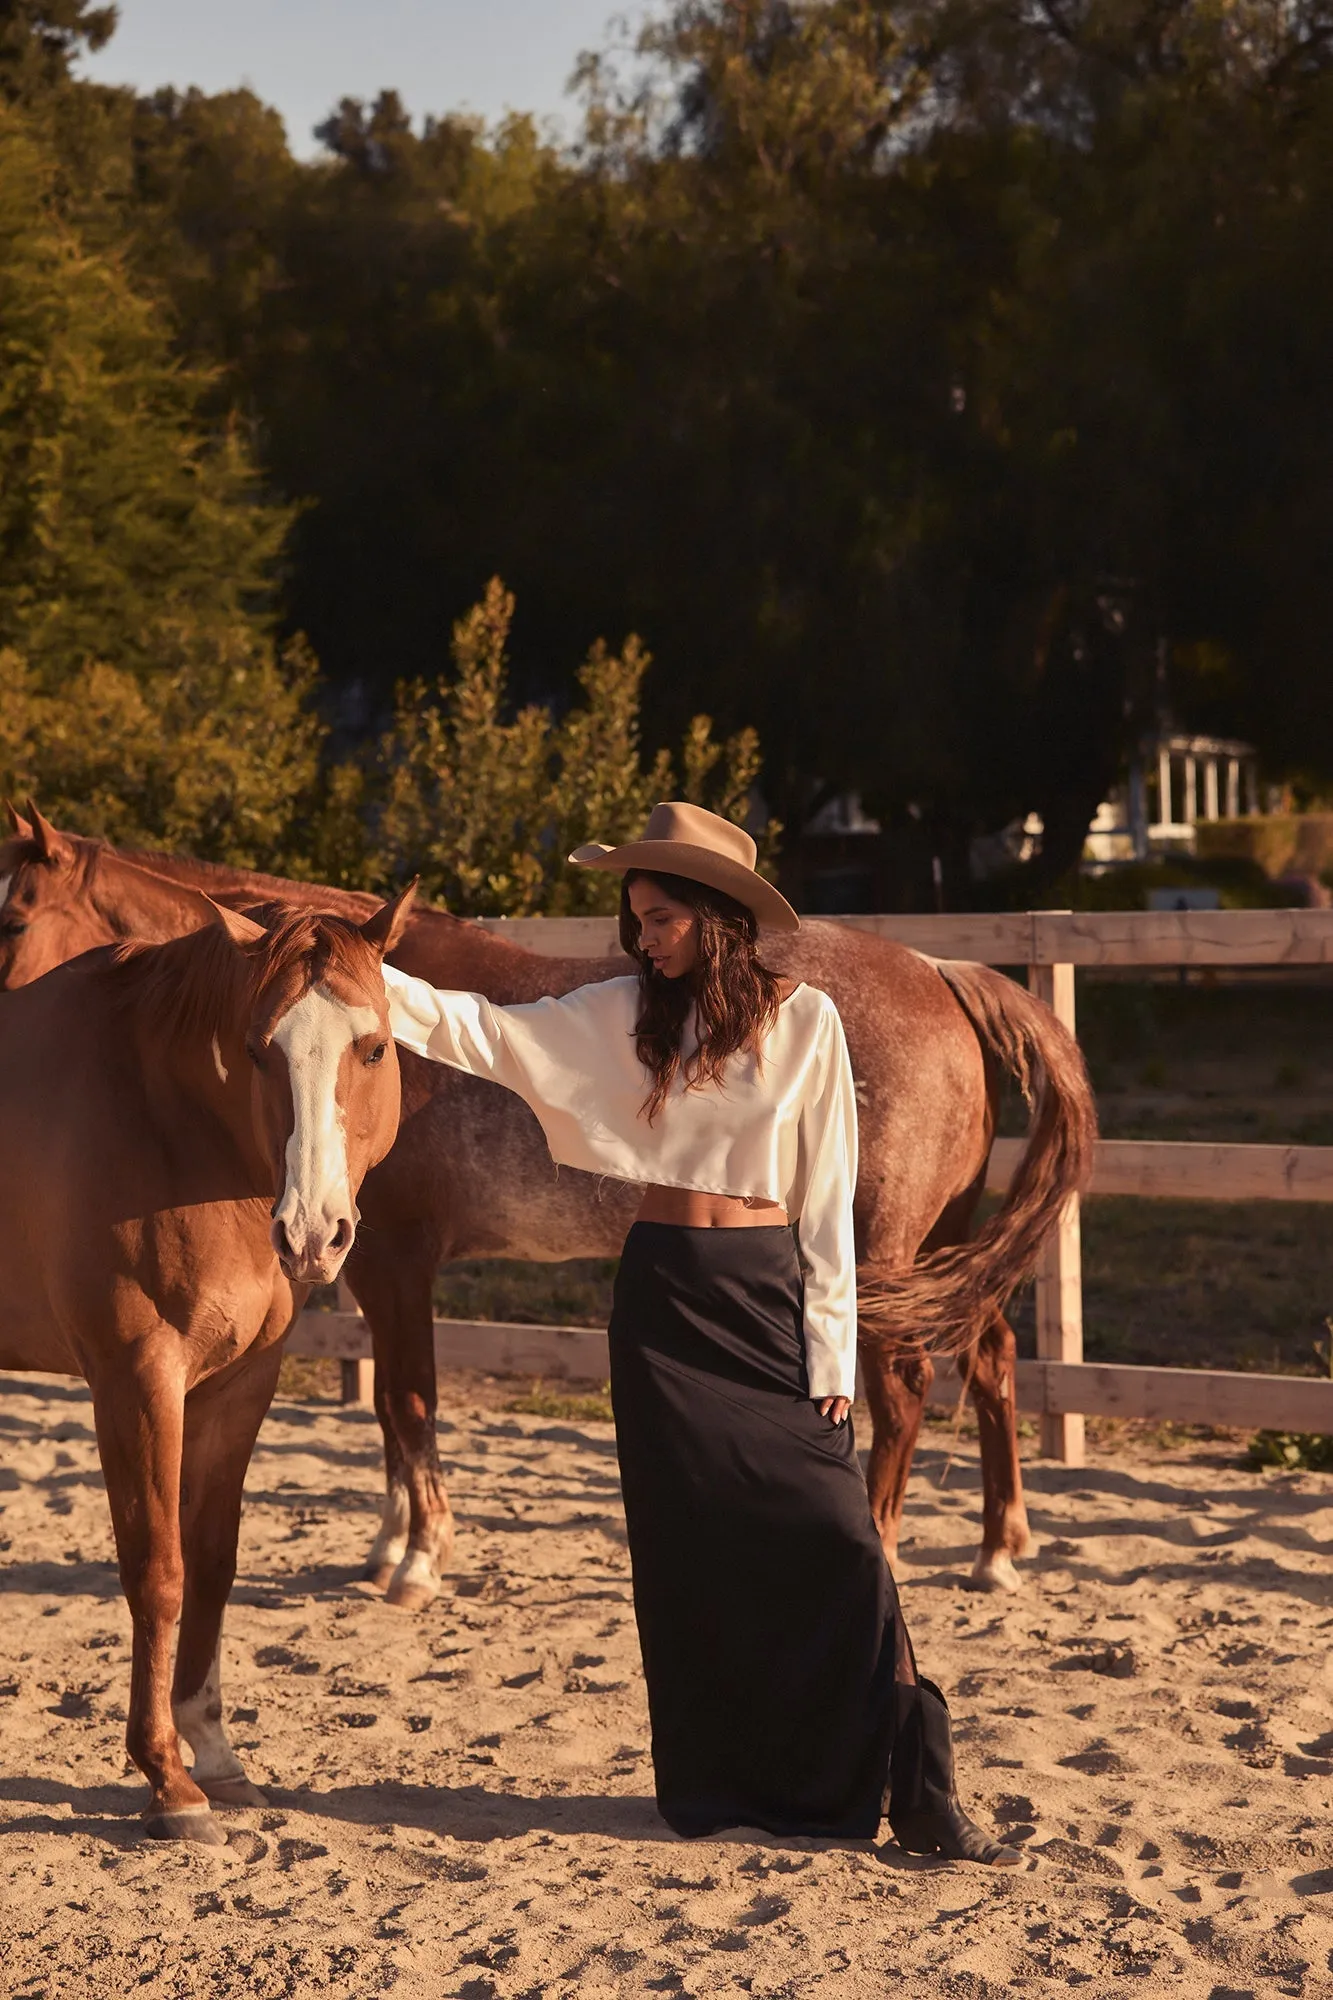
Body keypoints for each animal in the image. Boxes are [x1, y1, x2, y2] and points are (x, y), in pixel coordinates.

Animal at [0, 876, 410, 1840]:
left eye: (372, 1048)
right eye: (259, 1052)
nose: (312, 1234)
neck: (170, 1128)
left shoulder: (239, 1384)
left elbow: (214, 1564)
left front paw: (216, 1757)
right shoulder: (136, 1379)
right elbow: (158, 1571)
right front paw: (168, 1781)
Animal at [2, 804, 1088, 1600]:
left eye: (11, 917)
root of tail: (938, 971)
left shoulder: (395, 1258)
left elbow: (408, 1399)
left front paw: (418, 1560)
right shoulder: (363, 1263)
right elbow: (390, 1414)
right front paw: (387, 1540)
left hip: (875, 1253)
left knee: (900, 1391)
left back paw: (888, 1549)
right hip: (941, 1250)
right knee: (991, 1359)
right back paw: (998, 1549)